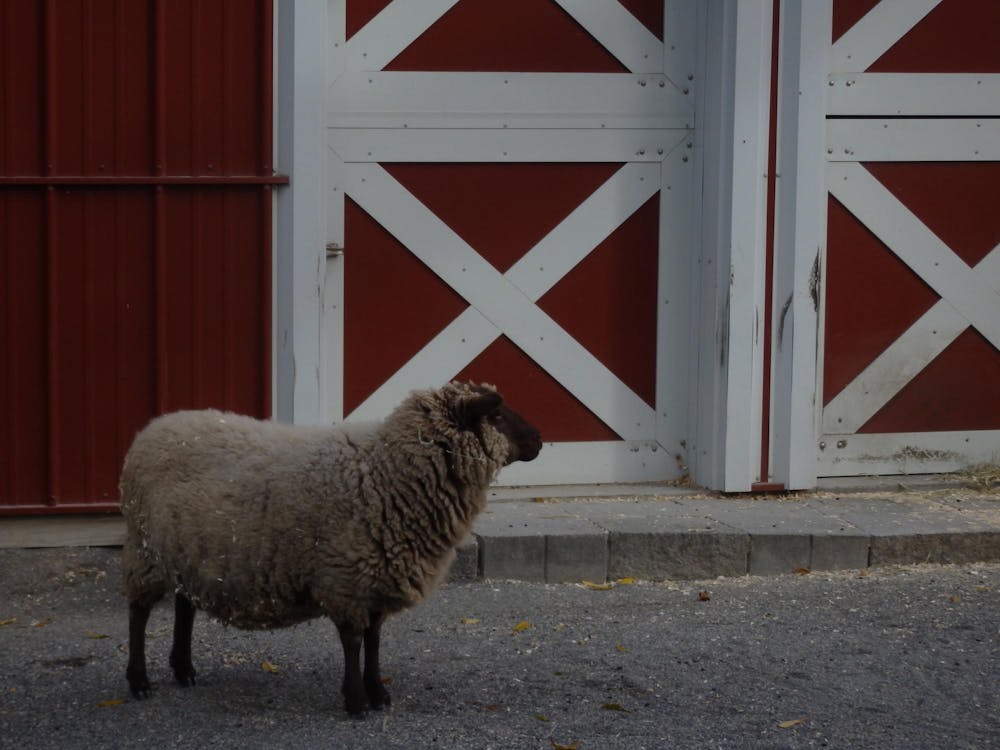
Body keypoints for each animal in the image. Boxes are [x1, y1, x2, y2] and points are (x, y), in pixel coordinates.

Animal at [120, 382, 544, 716]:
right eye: (497, 416)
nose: (541, 440)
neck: (386, 474)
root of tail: (153, 428)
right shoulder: (348, 579)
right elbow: (354, 642)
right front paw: (356, 701)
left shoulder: (376, 578)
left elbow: (374, 640)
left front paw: (378, 693)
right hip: (146, 550)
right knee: (139, 613)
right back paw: (139, 681)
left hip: (187, 550)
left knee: (184, 605)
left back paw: (184, 669)